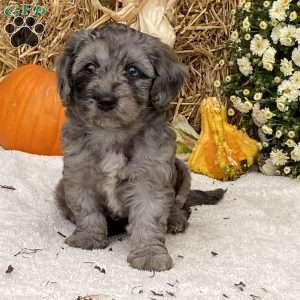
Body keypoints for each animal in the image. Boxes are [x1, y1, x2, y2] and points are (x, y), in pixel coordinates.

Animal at [55, 23, 224, 272]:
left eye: (132, 71)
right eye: (89, 67)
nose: (105, 100)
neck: (112, 133)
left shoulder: (150, 178)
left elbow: (148, 219)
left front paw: (149, 254)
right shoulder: (78, 173)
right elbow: (87, 210)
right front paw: (88, 237)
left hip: (182, 172)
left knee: (181, 205)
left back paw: (175, 220)